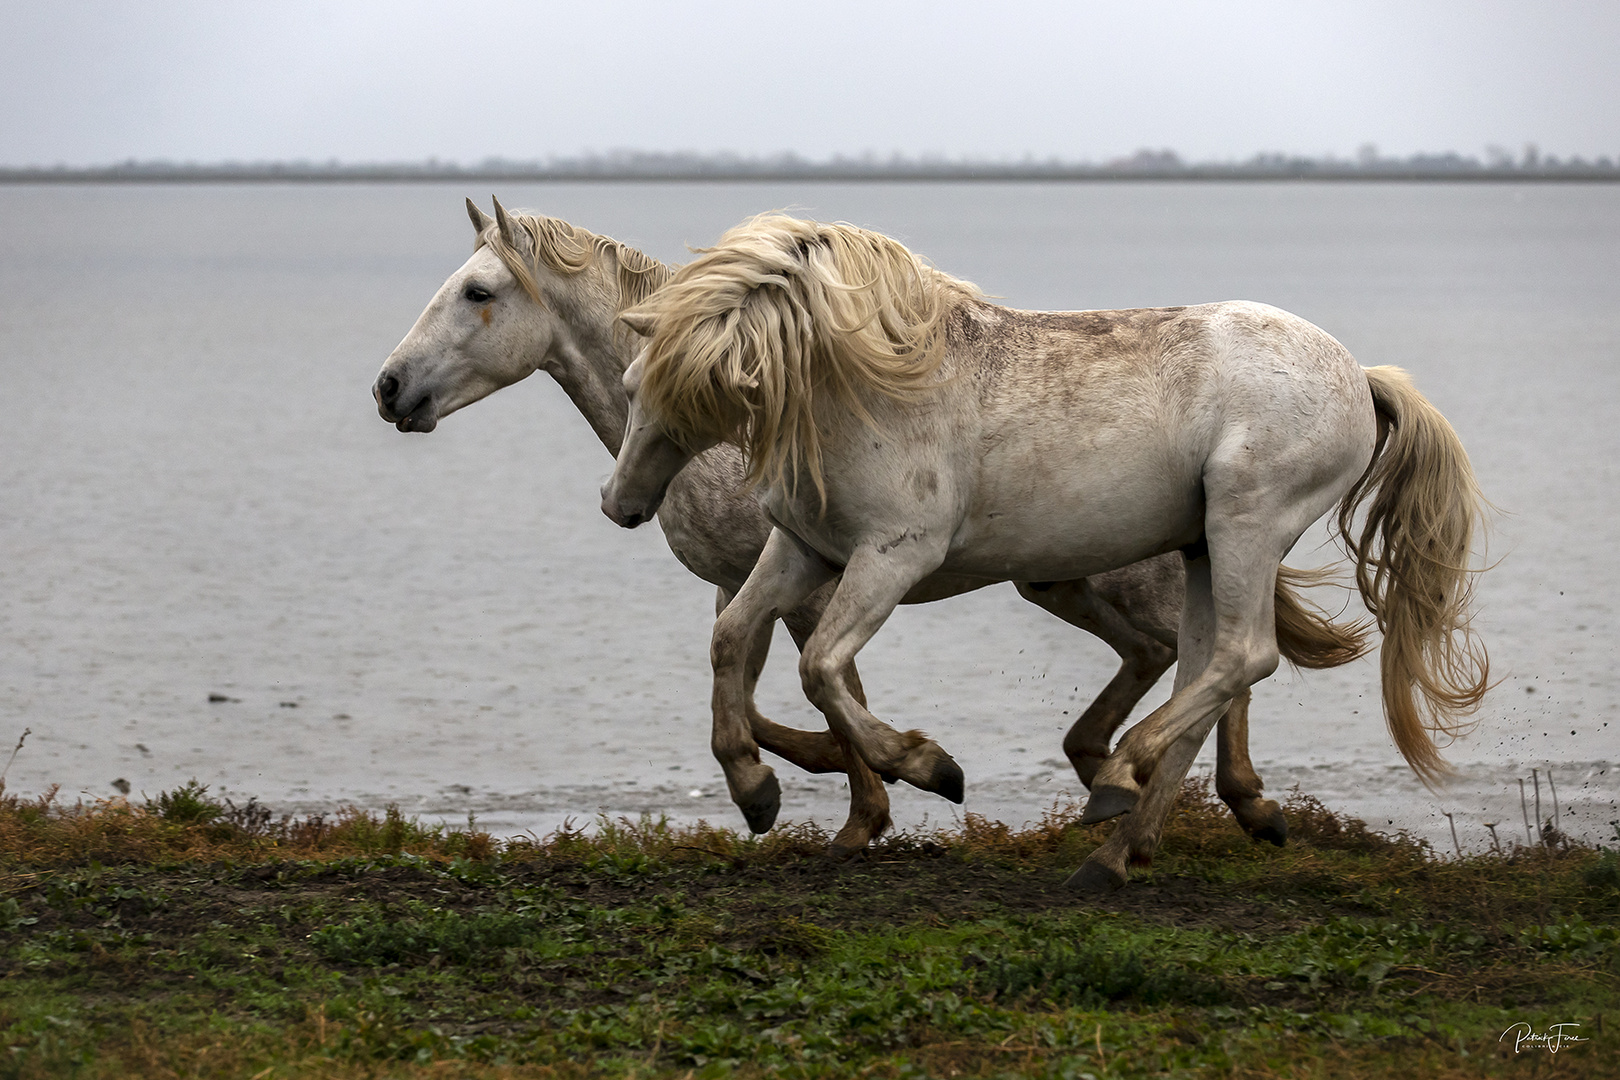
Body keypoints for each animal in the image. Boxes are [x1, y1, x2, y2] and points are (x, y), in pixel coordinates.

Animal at [602, 213, 1483, 887]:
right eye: (632, 384)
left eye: (676, 389)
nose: (620, 504)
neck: (871, 391)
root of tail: (1359, 374)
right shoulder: (804, 551)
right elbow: (731, 641)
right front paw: (754, 790)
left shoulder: (893, 556)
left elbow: (819, 667)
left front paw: (928, 766)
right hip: (1203, 546)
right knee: (1205, 673)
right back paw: (1118, 852)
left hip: (1248, 524)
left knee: (1242, 658)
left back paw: (1119, 783)